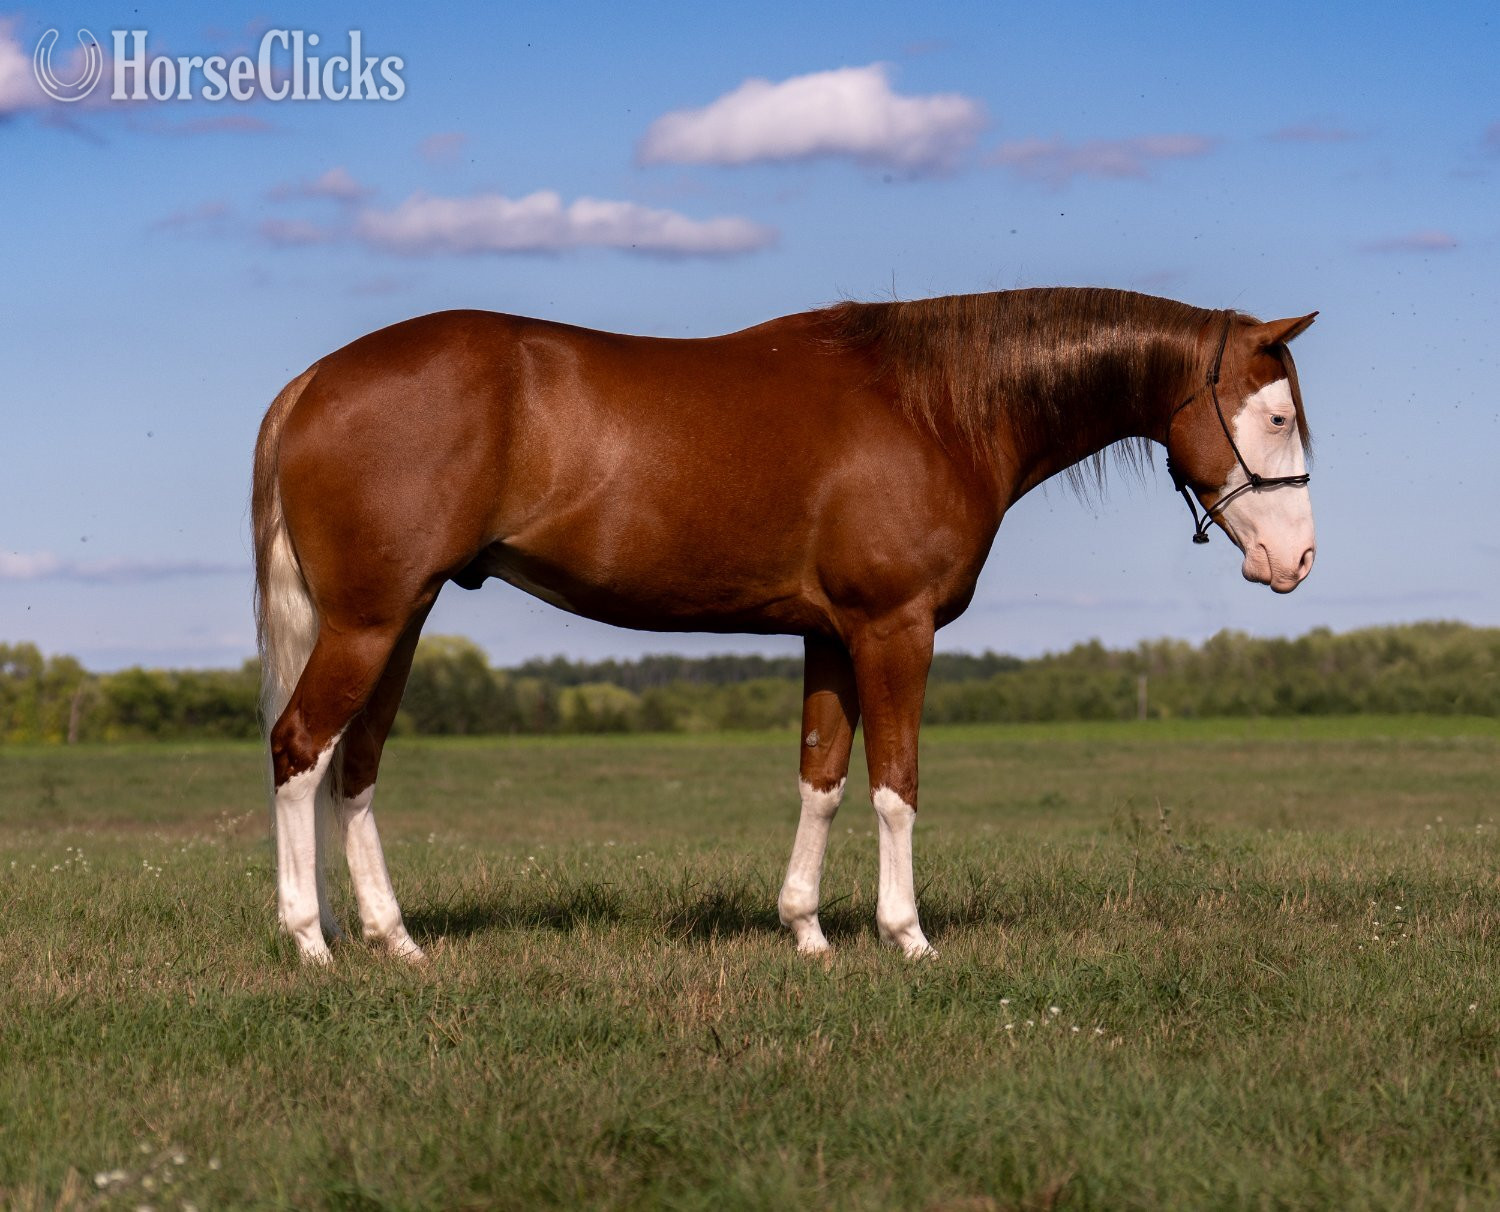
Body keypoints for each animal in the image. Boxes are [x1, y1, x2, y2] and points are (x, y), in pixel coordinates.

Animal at [252, 286, 1317, 964]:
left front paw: (806, 931)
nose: (1297, 561)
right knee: (301, 747)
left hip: (400, 619)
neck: (935, 407)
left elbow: (823, 779)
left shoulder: (831, 636)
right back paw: (309, 943)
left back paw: (394, 941)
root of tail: (312, 381)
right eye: (1273, 418)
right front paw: (907, 937)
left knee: (356, 765)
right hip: (369, 622)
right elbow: (895, 786)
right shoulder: (894, 629)